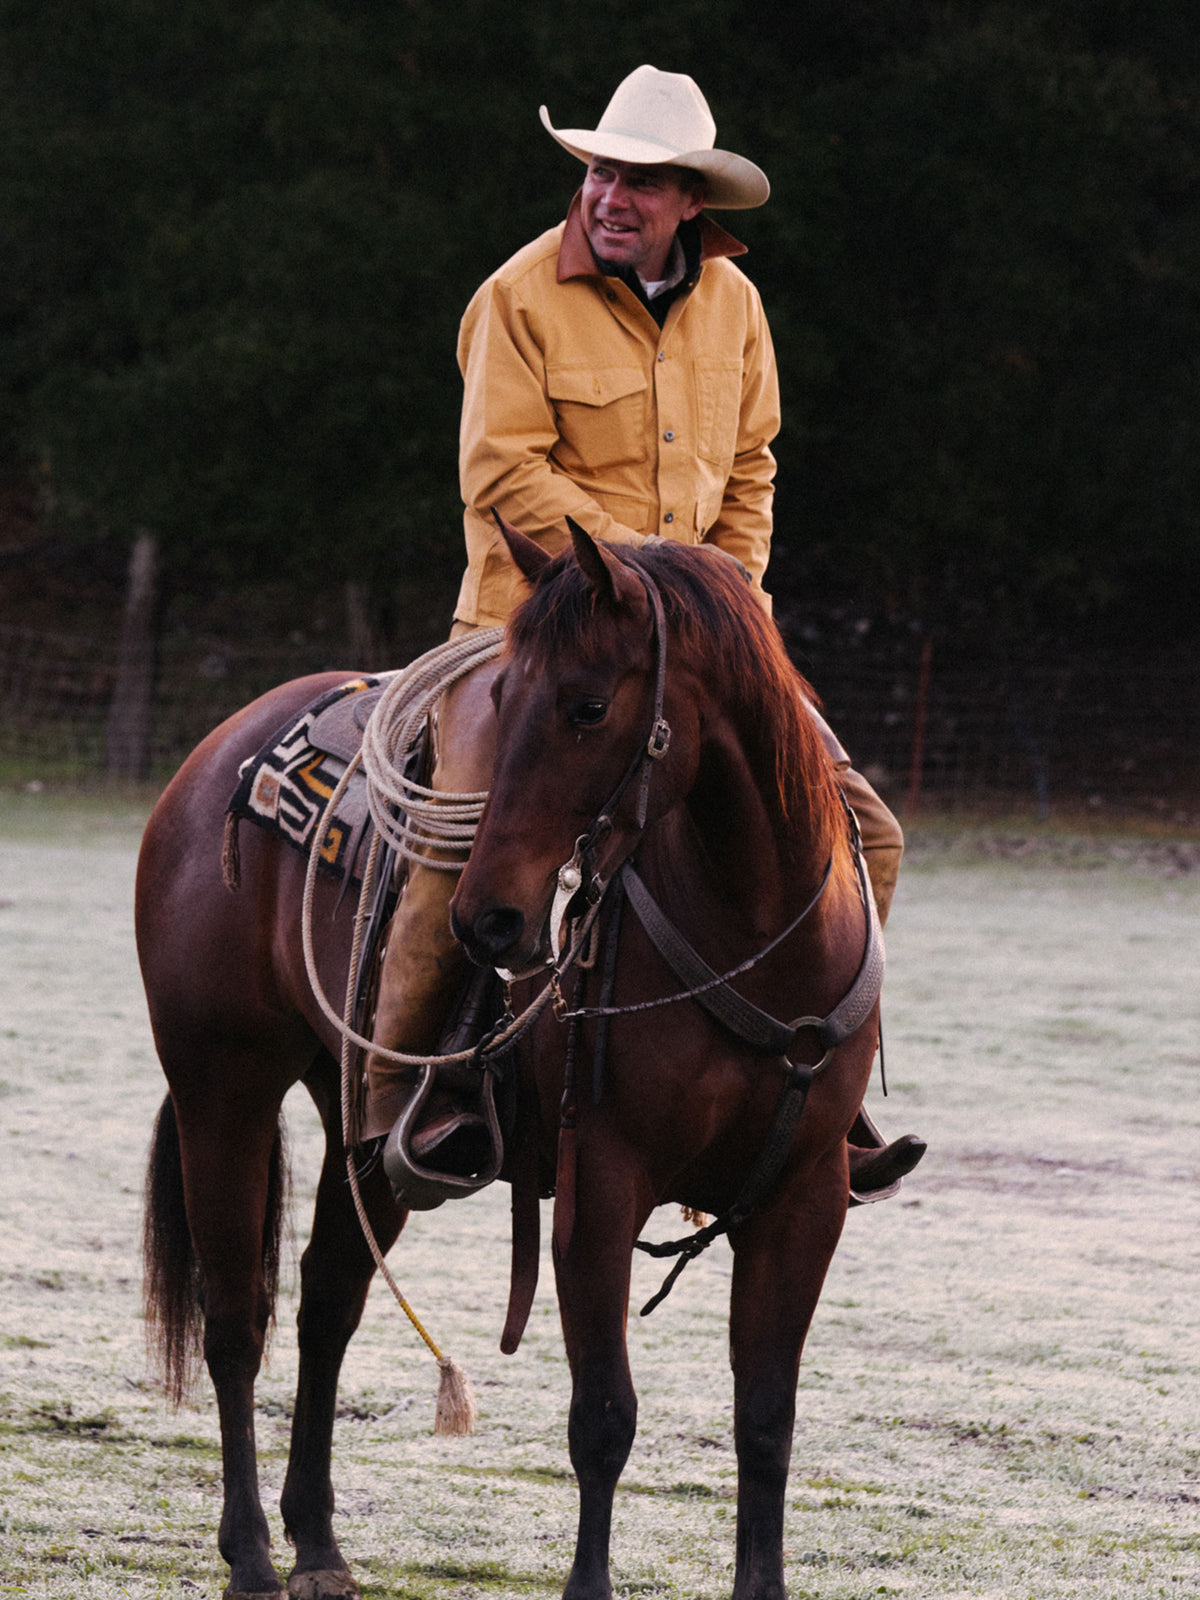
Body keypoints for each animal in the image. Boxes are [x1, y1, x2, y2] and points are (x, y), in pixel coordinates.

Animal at [138, 520, 883, 1600]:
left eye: (587, 705)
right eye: (502, 702)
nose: (487, 917)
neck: (754, 930)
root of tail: (218, 757)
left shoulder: (802, 1197)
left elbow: (766, 1421)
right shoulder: (601, 1184)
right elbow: (604, 1416)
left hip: (360, 1125)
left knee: (328, 1299)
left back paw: (317, 1544)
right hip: (221, 1087)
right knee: (235, 1316)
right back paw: (250, 1553)